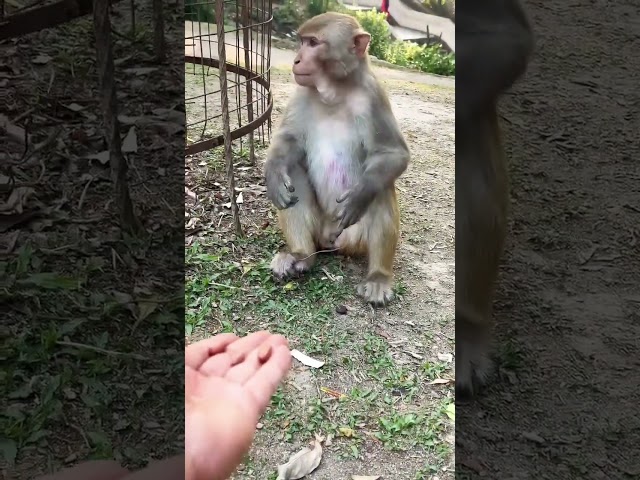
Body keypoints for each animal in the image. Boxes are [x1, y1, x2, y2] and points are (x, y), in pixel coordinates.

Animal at [263, 12, 410, 307]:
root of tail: (330, 237)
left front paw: (360, 194)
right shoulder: (301, 92)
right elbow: (288, 140)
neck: (335, 91)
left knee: (383, 187)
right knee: (293, 172)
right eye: (302, 41)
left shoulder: (373, 96)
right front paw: (273, 173)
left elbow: (394, 154)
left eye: (313, 43)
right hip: (319, 231)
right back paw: (300, 256)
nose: (296, 60)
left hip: (352, 238)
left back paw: (378, 276)